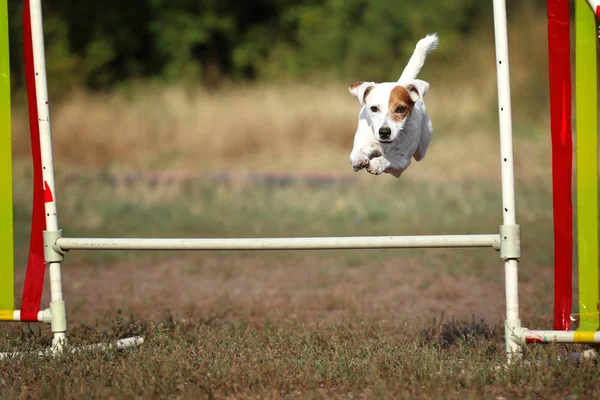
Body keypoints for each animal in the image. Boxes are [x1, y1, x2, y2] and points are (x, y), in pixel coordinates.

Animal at [346, 33, 436, 177]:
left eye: (401, 109)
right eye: (374, 108)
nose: (384, 132)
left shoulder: (402, 162)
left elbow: (388, 159)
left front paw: (377, 163)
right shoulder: (363, 144)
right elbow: (357, 152)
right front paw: (359, 159)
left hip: (421, 148)